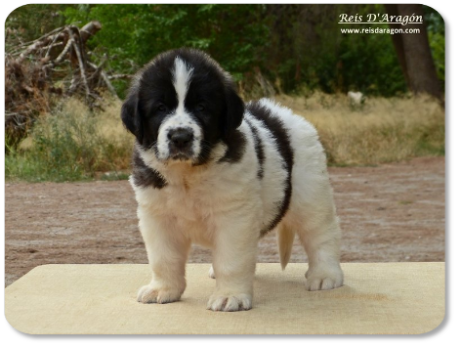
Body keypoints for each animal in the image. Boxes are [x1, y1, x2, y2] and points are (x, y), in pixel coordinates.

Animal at [120, 47, 344, 312]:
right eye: (160, 108)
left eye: (202, 107)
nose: (180, 137)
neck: (188, 175)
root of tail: (286, 114)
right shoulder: (157, 215)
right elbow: (163, 257)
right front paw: (163, 289)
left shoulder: (234, 217)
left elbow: (232, 259)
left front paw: (231, 296)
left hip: (310, 192)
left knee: (321, 233)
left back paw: (325, 275)